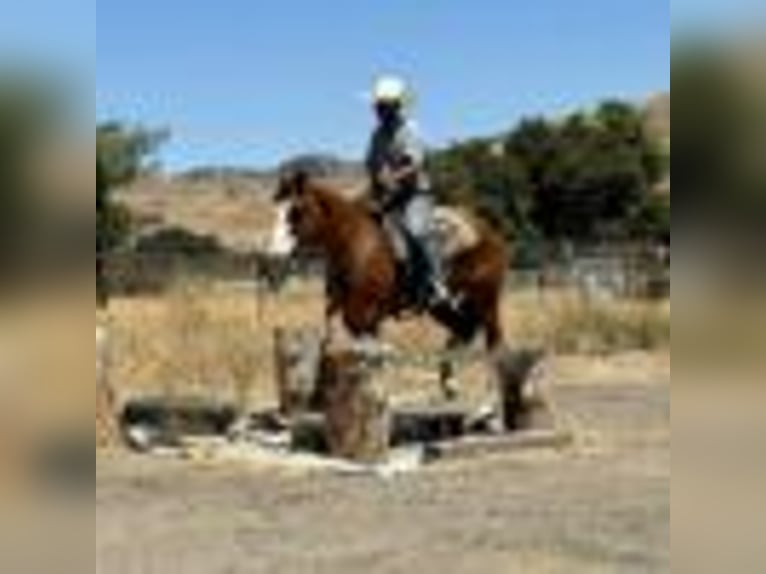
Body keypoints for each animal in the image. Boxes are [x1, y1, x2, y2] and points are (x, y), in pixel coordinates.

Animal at [272, 171, 509, 398]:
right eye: (277, 210)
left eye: (296, 210)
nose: (275, 253)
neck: (356, 243)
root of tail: (488, 232)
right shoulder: (346, 310)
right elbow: (337, 341)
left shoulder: (362, 313)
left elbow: (367, 347)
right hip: (443, 307)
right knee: (463, 331)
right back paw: (450, 385)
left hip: (486, 301)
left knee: (494, 341)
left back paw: (490, 395)